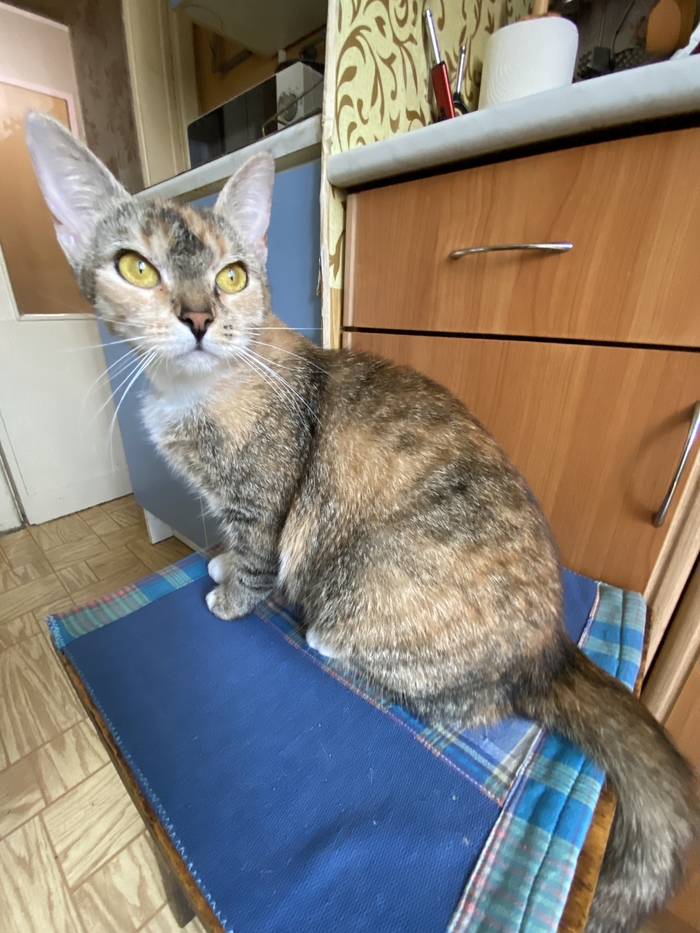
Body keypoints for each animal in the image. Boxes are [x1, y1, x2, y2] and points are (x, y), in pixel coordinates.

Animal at [26, 111, 699, 933]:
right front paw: (217, 563)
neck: (196, 392)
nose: (198, 317)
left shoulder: (263, 499)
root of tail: (551, 649)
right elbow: (228, 541)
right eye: (137, 268)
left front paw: (231, 594)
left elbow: (253, 551)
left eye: (232, 276)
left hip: (366, 596)